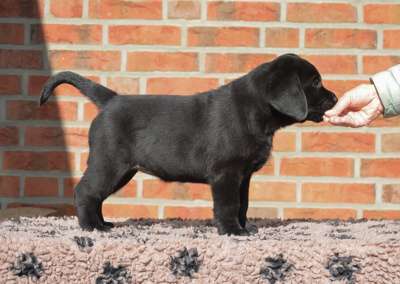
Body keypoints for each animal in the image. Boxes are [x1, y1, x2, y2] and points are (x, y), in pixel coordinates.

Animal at [39, 53, 338, 235]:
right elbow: (228, 204)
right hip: (109, 162)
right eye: (316, 83)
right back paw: (92, 227)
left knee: (96, 196)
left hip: (121, 170)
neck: (256, 110)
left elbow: (243, 203)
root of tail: (111, 99)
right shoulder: (226, 173)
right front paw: (232, 231)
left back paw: (102, 223)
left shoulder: (243, 176)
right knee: (86, 192)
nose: (335, 98)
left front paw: (244, 228)